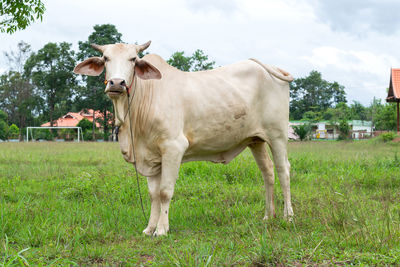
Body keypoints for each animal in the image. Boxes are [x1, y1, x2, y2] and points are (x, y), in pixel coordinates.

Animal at [74, 42, 294, 237]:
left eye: (133, 59)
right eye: (105, 58)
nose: (117, 83)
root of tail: (270, 68)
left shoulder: (173, 147)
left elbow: (165, 192)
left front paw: (162, 229)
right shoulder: (151, 157)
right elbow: (153, 194)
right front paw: (149, 228)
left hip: (277, 134)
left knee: (283, 171)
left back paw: (288, 216)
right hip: (255, 140)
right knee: (267, 172)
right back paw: (268, 216)